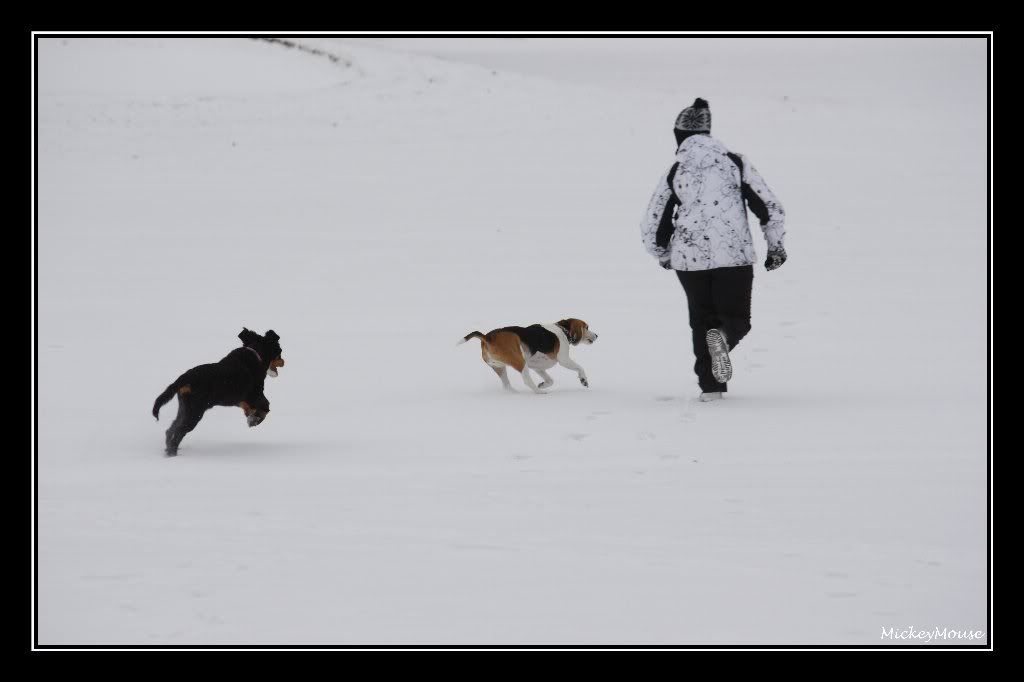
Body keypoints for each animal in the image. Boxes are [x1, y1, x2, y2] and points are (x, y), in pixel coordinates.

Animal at [149, 327, 284, 454]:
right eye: (280, 351)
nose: (283, 362)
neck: (256, 354)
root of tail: (184, 378)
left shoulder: (240, 398)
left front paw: (251, 417)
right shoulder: (255, 393)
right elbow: (266, 406)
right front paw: (254, 420)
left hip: (185, 408)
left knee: (171, 429)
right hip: (195, 411)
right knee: (179, 431)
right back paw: (172, 453)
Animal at [458, 319, 598, 393]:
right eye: (586, 327)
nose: (596, 335)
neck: (564, 330)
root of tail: (487, 337)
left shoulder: (538, 367)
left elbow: (550, 380)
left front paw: (543, 384)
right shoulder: (564, 360)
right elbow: (580, 368)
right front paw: (583, 379)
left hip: (499, 367)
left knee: (507, 385)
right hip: (519, 361)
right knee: (526, 380)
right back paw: (539, 392)